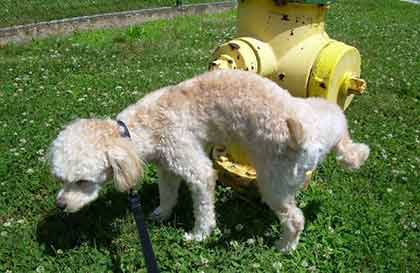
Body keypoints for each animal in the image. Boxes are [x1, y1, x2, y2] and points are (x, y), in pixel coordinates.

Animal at [49, 69, 370, 251]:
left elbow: (203, 207)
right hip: (324, 116)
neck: (141, 128)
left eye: (83, 181)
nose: (61, 205)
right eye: (61, 180)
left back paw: (284, 247)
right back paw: (356, 150)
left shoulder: (196, 168)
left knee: (295, 218)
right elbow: (167, 194)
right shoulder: (168, 166)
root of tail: (307, 138)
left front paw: (200, 235)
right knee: (342, 131)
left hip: (274, 182)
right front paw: (161, 214)